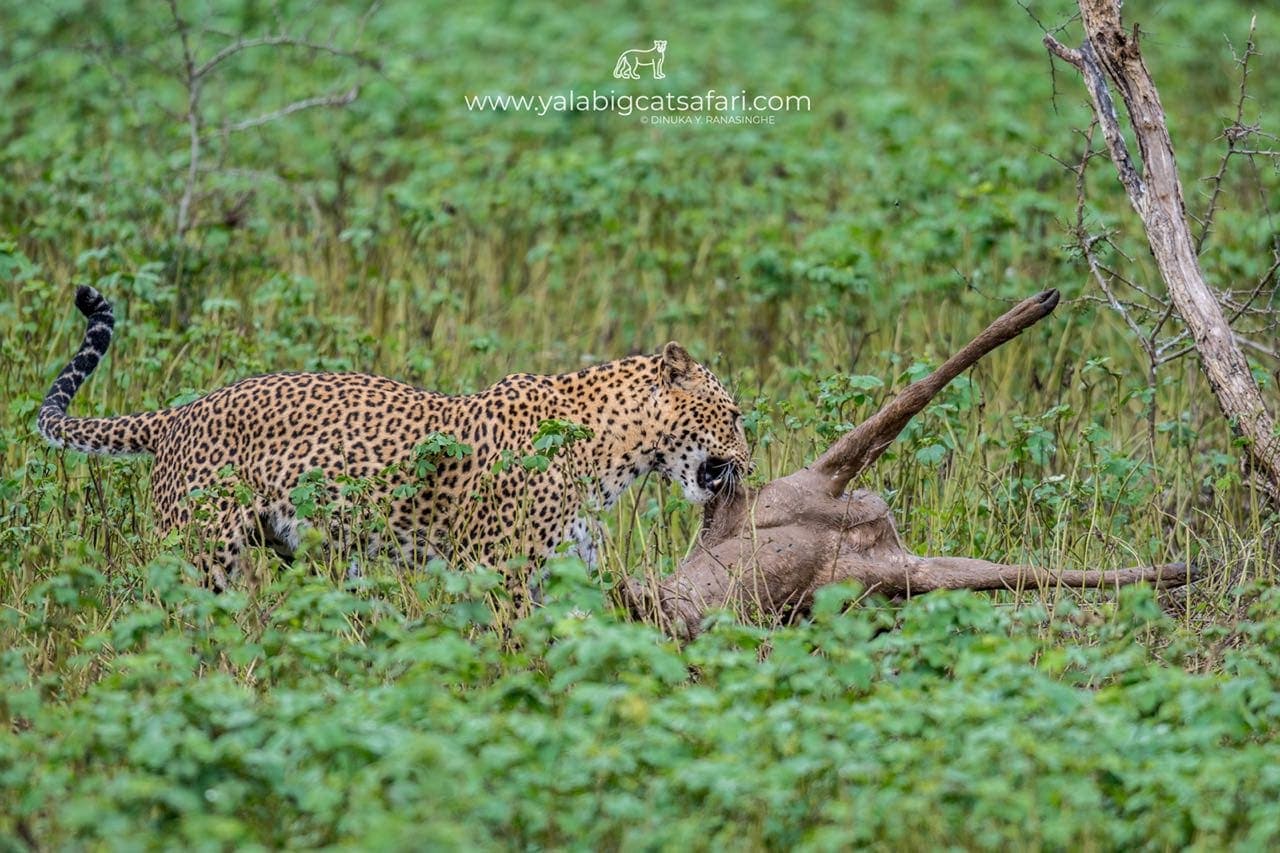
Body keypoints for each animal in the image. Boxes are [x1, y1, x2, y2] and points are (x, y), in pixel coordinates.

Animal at [38, 286, 750, 591]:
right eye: (736, 414)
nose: (750, 457)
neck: (612, 452)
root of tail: (177, 414)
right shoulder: (496, 569)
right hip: (201, 552)